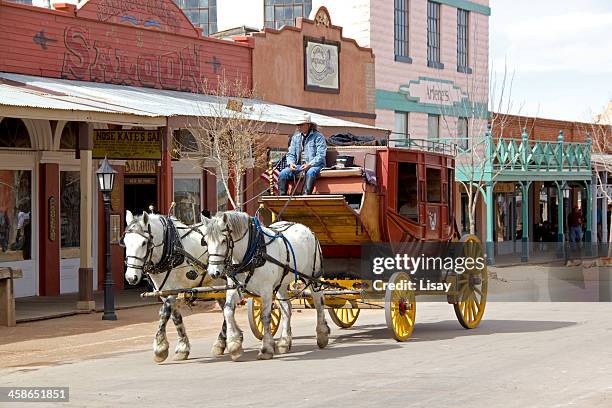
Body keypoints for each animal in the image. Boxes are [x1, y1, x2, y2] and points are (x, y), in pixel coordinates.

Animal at [122, 210, 227, 364]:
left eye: (143, 243)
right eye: (125, 242)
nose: (131, 277)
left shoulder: (172, 292)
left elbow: (164, 313)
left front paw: (159, 348)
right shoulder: (167, 291)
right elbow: (176, 317)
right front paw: (182, 348)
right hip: (218, 286)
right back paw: (222, 342)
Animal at [202, 210, 330, 360]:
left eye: (223, 240)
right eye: (205, 241)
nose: (213, 272)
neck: (251, 253)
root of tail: (307, 228)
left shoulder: (266, 289)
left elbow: (265, 317)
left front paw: (266, 349)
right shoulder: (235, 288)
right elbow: (227, 311)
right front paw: (234, 345)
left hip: (313, 277)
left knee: (319, 303)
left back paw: (322, 335)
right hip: (281, 282)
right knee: (287, 308)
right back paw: (284, 342)